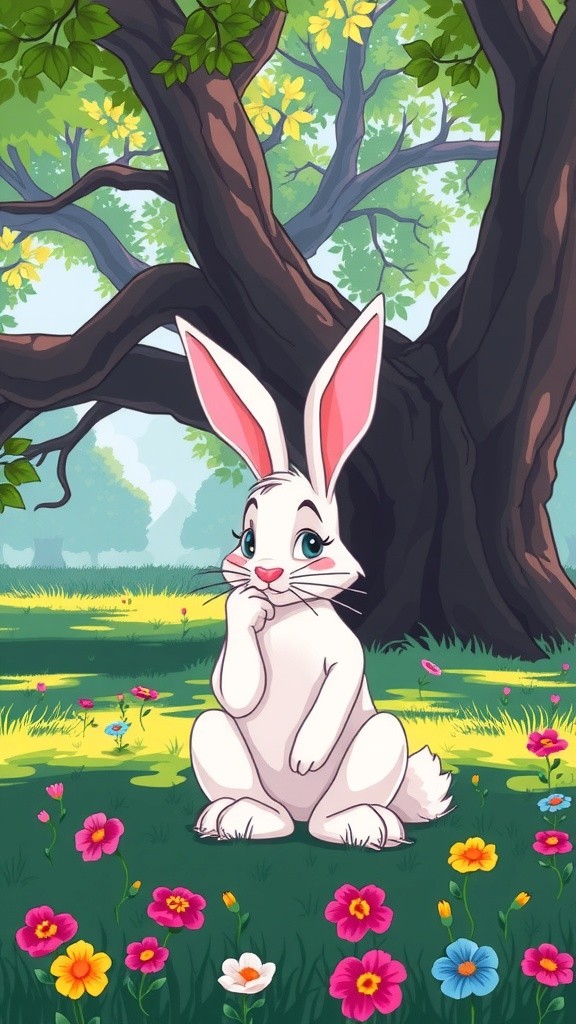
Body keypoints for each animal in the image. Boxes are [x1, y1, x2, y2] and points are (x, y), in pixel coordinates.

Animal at [175, 296, 452, 850]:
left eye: (311, 543)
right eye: (247, 541)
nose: (266, 573)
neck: (288, 620)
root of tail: (299, 813)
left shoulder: (346, 654)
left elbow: (340, 684)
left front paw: (303, 756)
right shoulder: (235, 672)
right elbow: (235, 689)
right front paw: (248, 606)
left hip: (383, 735)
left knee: (335, 812)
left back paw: (361, 825)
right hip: (210, 730)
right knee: (257, 797)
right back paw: (240, 819)